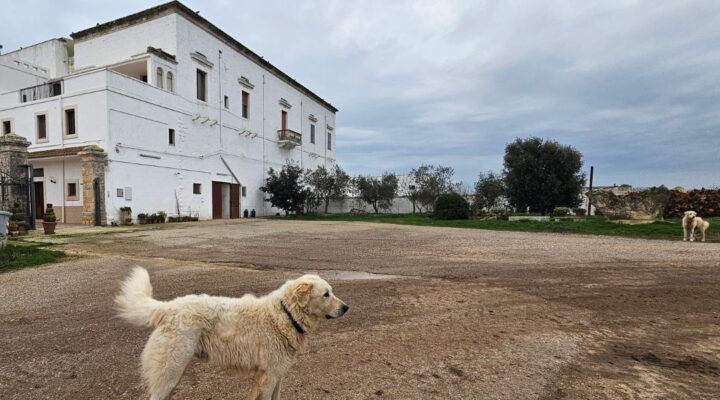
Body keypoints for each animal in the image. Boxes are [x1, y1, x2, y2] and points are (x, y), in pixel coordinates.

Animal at [114, 268, 348, 400]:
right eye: (326, 294)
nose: (346, 307)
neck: (285, 314)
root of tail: (167, 307)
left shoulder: (277, 375)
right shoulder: (268, 377)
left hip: (173, 375)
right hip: (169, 373)